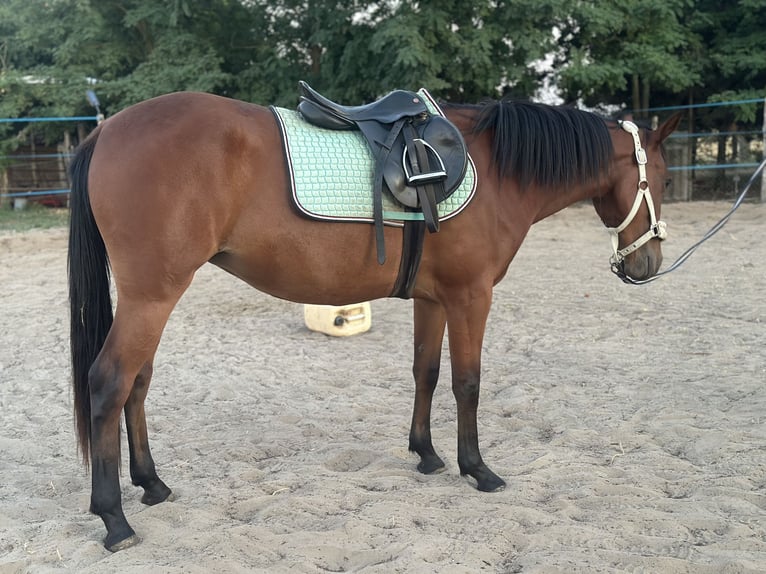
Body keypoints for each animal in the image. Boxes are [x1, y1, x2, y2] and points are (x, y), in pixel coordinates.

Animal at [67, 89, 680, 551]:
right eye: (663, 179)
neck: (496, 169)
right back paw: (115, 519)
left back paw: (152, 484)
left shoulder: (434, 300)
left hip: (154, 297)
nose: (647, 263)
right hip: (153, 296)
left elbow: (426, 373)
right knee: (109, 383)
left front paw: (427, 455)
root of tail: (107, 130)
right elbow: (468, 382)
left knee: (138, 383)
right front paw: (477, 469)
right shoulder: (470, 296)